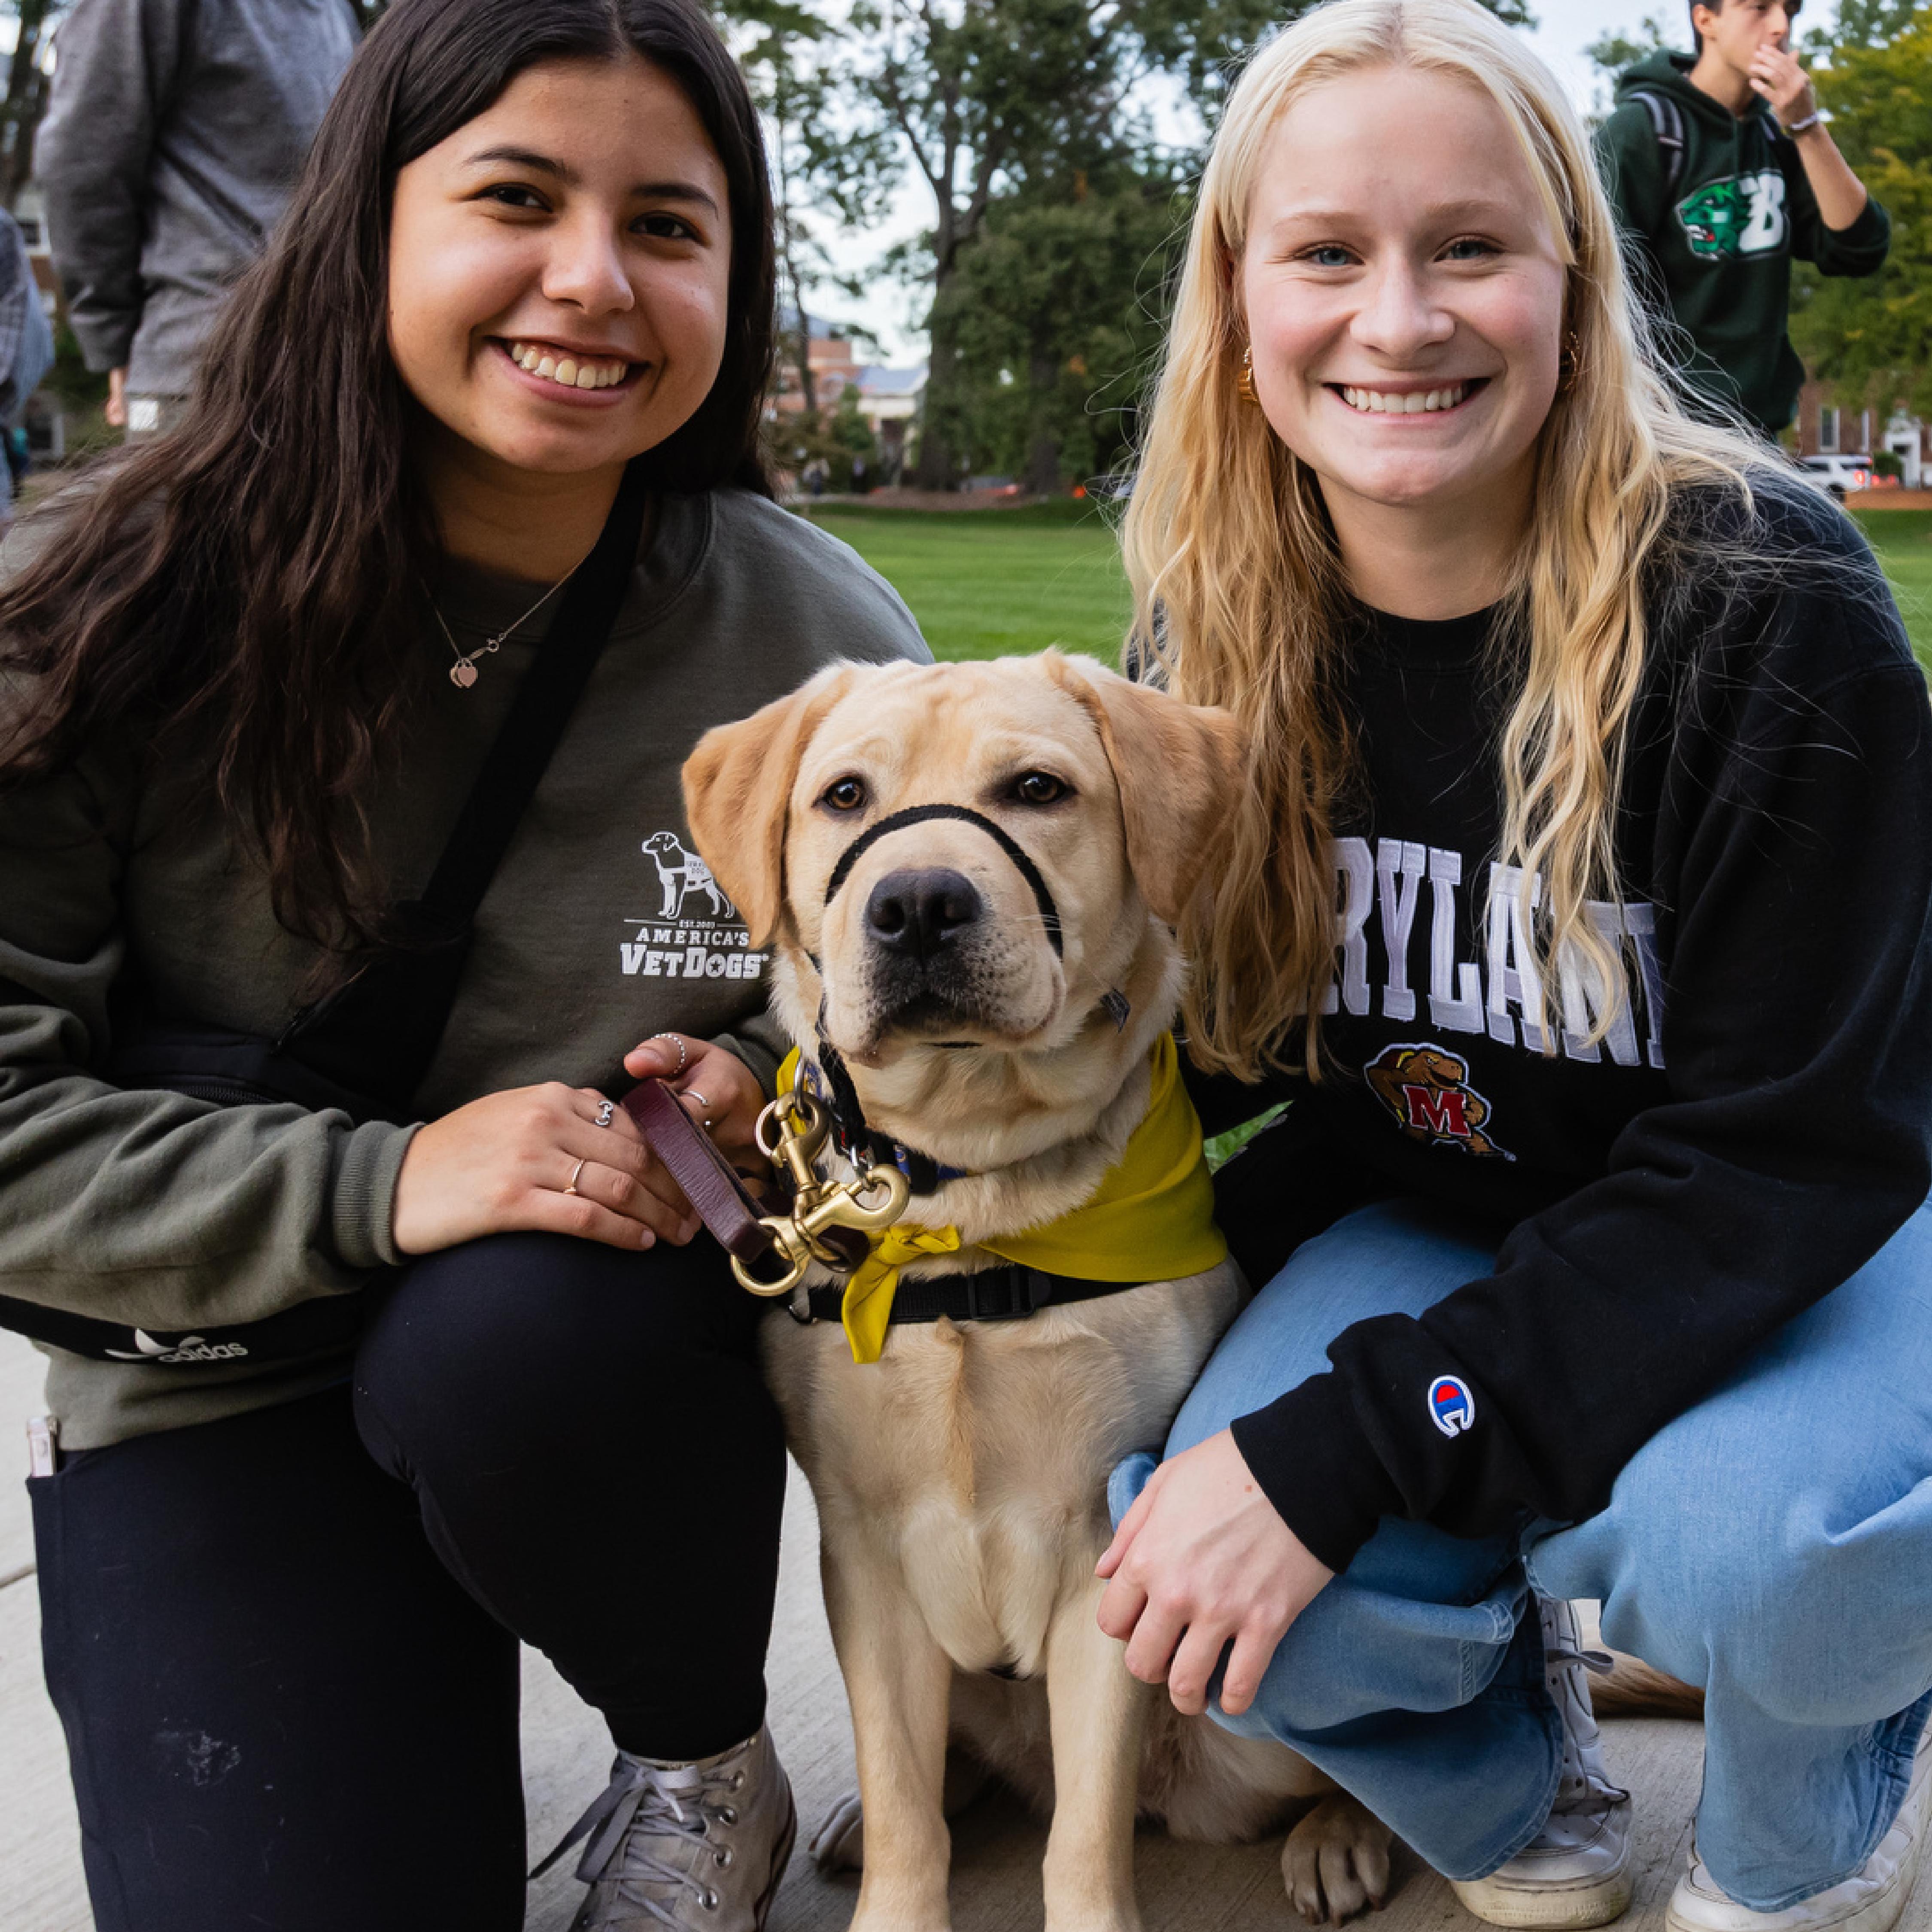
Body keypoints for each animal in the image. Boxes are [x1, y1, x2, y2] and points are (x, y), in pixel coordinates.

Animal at [680, 657, 1391, 1924]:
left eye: (1035, 788)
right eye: (843, 795)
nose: (917, 903)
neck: (966, 1200)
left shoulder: (1111, 1549)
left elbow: (1085, 1830)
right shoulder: (862, 1557)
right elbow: (906, 1801)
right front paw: (894, 1885)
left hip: (1237, 1702)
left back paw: (1341, 1833)